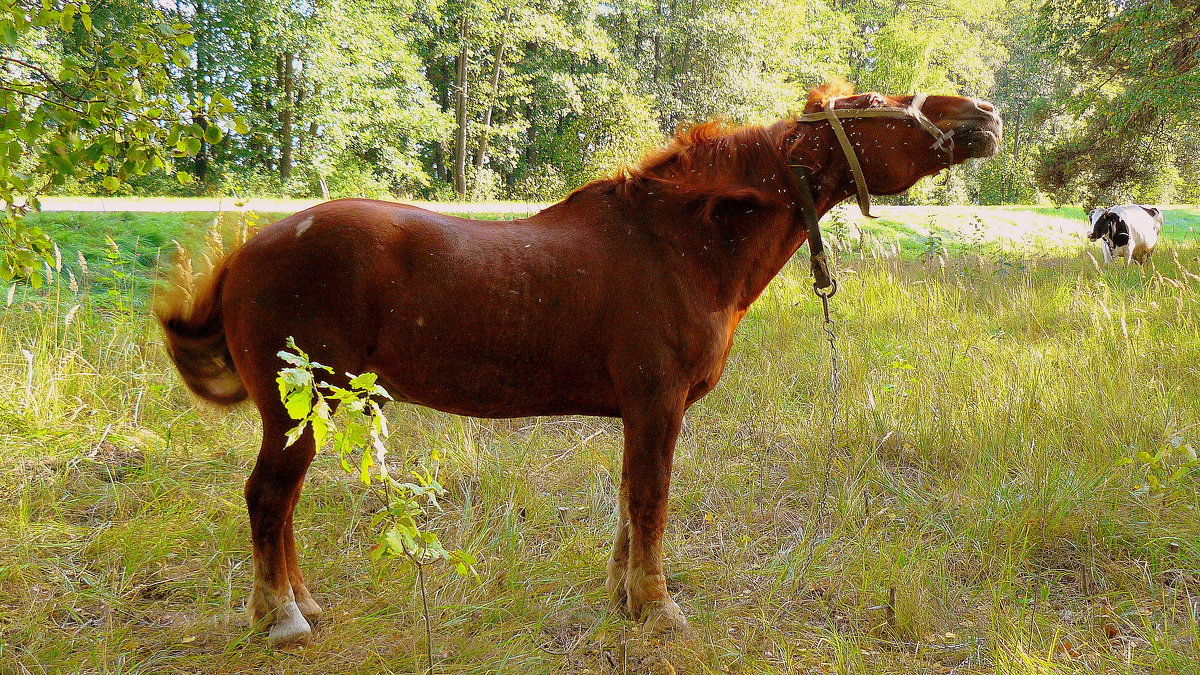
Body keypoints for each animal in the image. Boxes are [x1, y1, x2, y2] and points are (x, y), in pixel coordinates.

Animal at [162, 84, 1003, 638]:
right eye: (877, 97)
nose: (983, 114)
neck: (681, 243)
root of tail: (248, 252)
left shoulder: (643, 410)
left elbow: (632, 503)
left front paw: (628, 598)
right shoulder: (657, 402)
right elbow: (651, 501)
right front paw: (658, 608)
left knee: (282, 504)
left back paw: (302, 603)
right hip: (296, 409)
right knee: (268, 498)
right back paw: (280, 617)